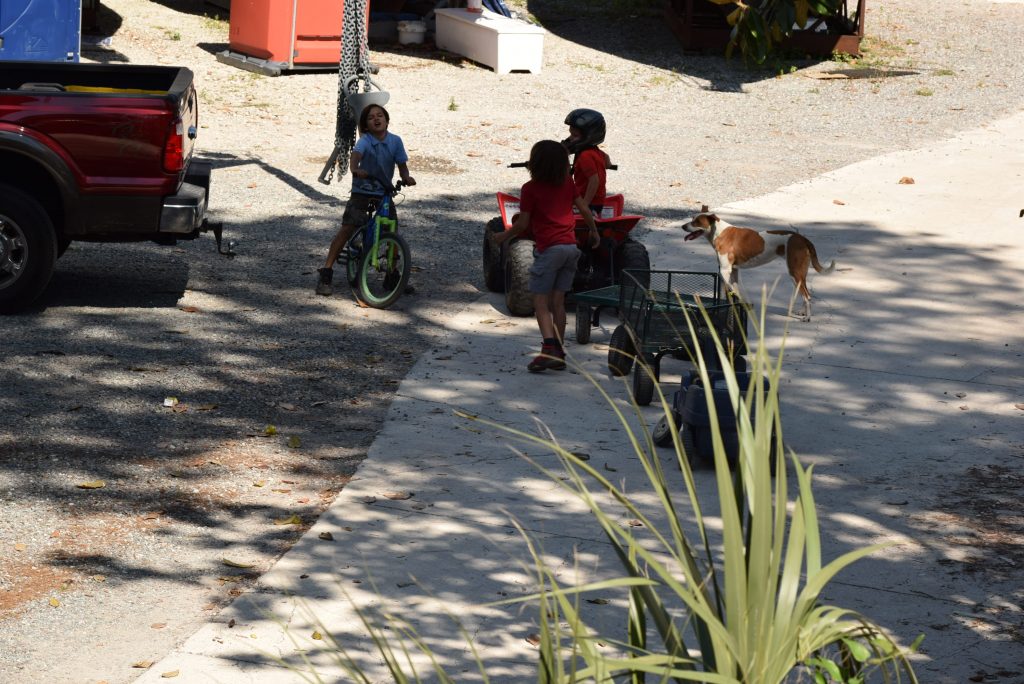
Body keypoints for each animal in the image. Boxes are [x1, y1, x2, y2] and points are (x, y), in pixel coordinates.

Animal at [679, 211, 831, 321]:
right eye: (692, 219)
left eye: (696, 222)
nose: (683, 226)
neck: (719, 232)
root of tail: (802, 238)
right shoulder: (733, 271)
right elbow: (736, 292)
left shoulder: (725, 270)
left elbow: (733, 292)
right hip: (798, 275)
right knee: (805, 295)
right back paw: (802, 312)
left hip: (795, 272)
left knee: (807, 296)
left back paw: (808, 317)